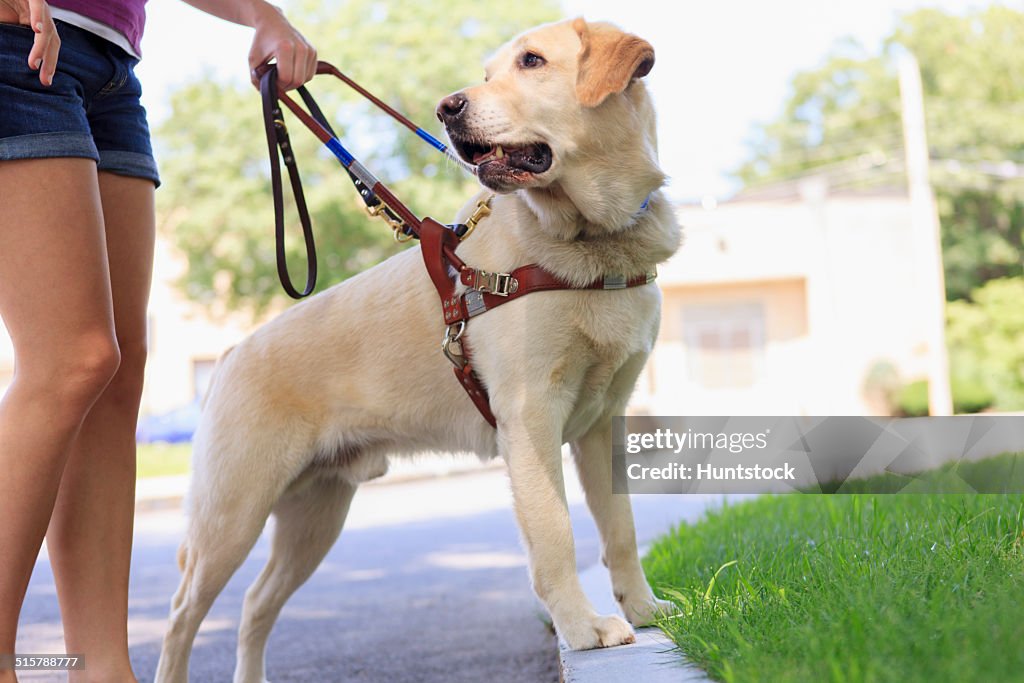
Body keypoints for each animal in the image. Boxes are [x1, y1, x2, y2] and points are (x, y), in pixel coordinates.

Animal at [153, 17, 679, 683]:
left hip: (314, 517)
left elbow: (622, 530)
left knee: (254, 605)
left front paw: (644, 610)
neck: (588, 240)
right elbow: (555, 534)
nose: (447, 108)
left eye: (532, 62)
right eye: (487, 73)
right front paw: (585, 630)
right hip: (232, 515)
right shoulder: (530, 417)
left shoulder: (605, 421)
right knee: (181, 616)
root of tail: (229, 356)